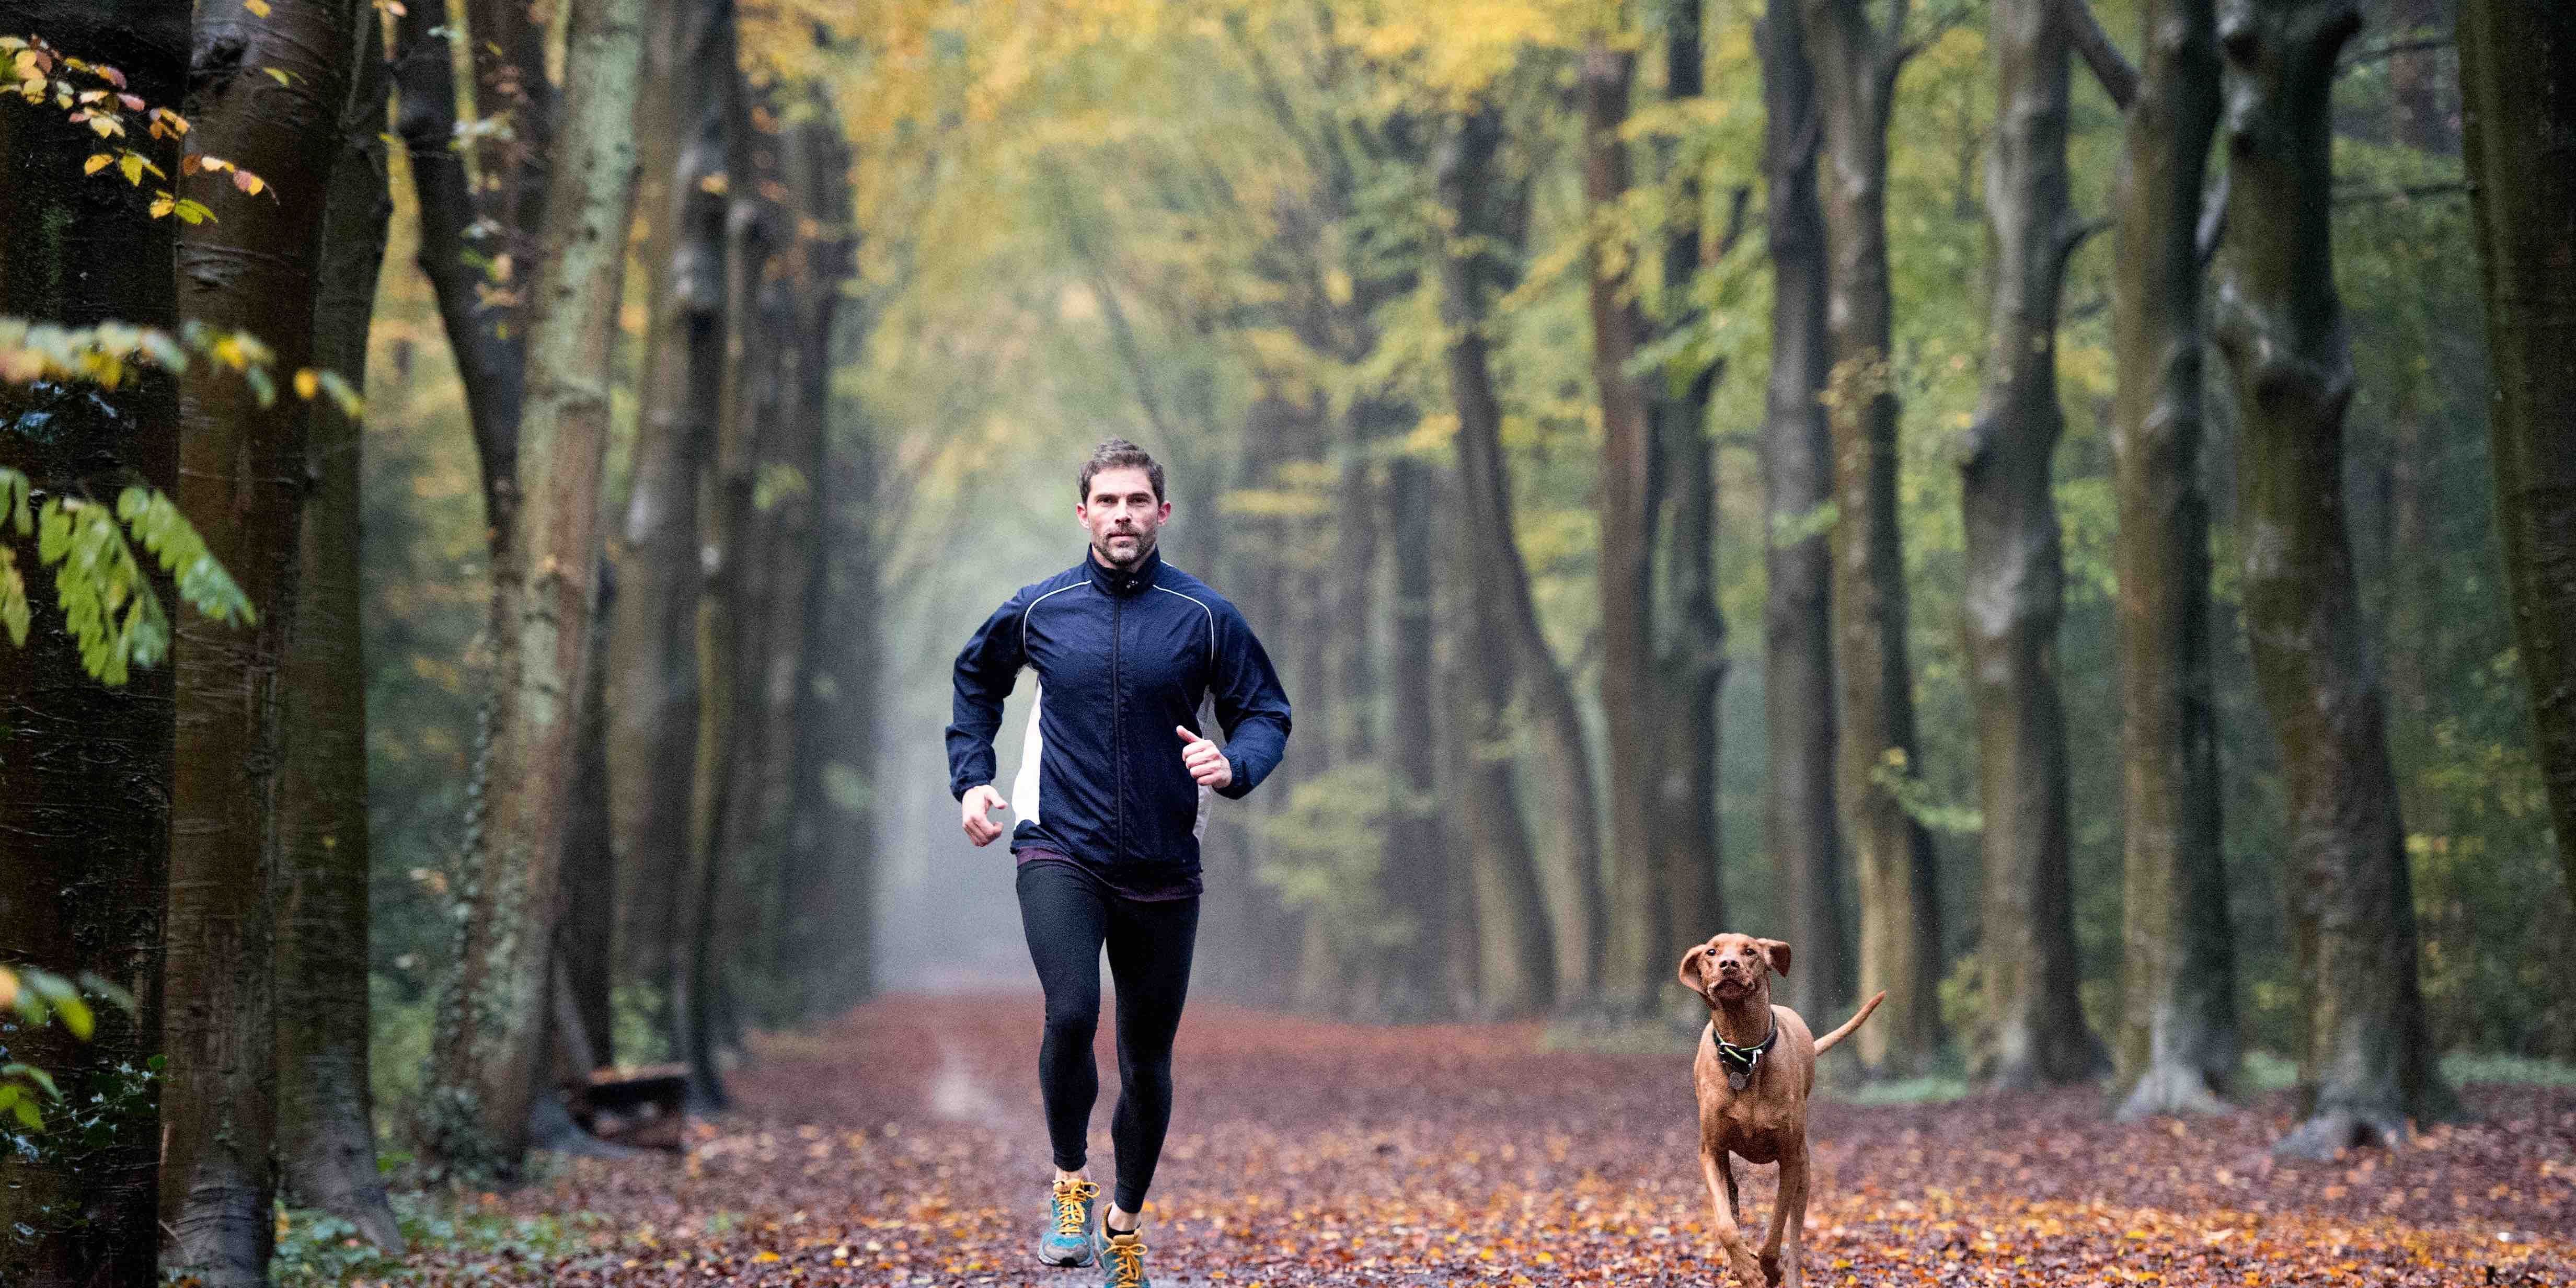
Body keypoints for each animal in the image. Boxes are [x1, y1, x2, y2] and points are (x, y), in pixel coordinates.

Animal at [1680, 937, 1885, 1288]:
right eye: (1711, 952)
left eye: (1749, 951)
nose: (1728, 964)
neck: (1745, 1054)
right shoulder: (1711, 1151)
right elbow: (1725, 1225)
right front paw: (1745, 1269)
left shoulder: (1789, 1158)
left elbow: (1776, 1231)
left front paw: (1768, 1268)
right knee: (1732, 1197)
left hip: (1804, 1170)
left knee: (1796, 1232)